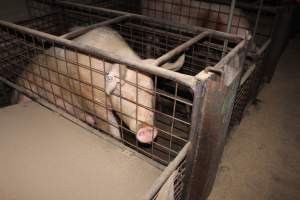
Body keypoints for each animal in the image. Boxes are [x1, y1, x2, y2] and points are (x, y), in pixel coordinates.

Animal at [17, 26, 185, 143]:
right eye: (119, 92)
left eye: (151, 91)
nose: (148, 130)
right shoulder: (90, 98)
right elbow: (110, 125)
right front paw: (117, 140)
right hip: (27, 88)